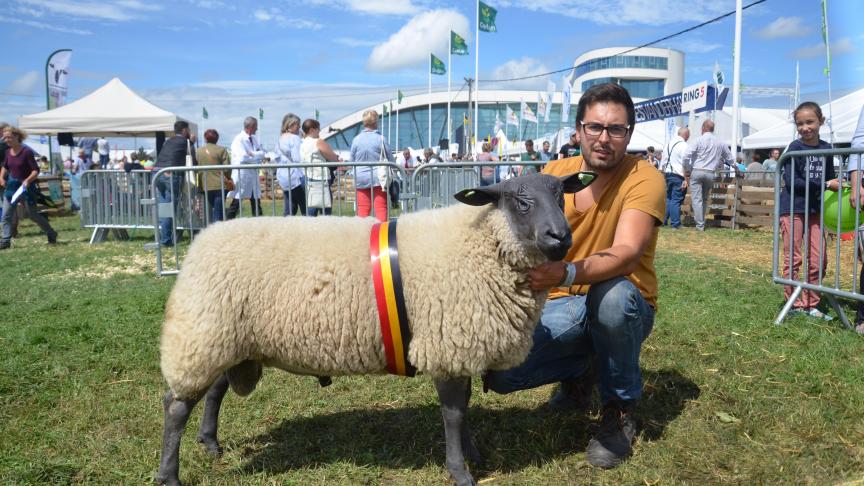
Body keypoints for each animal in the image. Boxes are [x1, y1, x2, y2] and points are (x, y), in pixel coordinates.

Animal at [157, 171, 592, 486]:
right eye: (521, 200)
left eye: (561, 196)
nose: (560, 237)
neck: (484, 242)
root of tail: (201, 241)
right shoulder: (446, 342)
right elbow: (453, 414)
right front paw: (461, 471)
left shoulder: (458, 347)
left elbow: (464, 409)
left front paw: (473, 455)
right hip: (202, 331)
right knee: (176, 406)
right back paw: (169, 475)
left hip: (227, 336)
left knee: (214, 389)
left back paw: (210, 442)